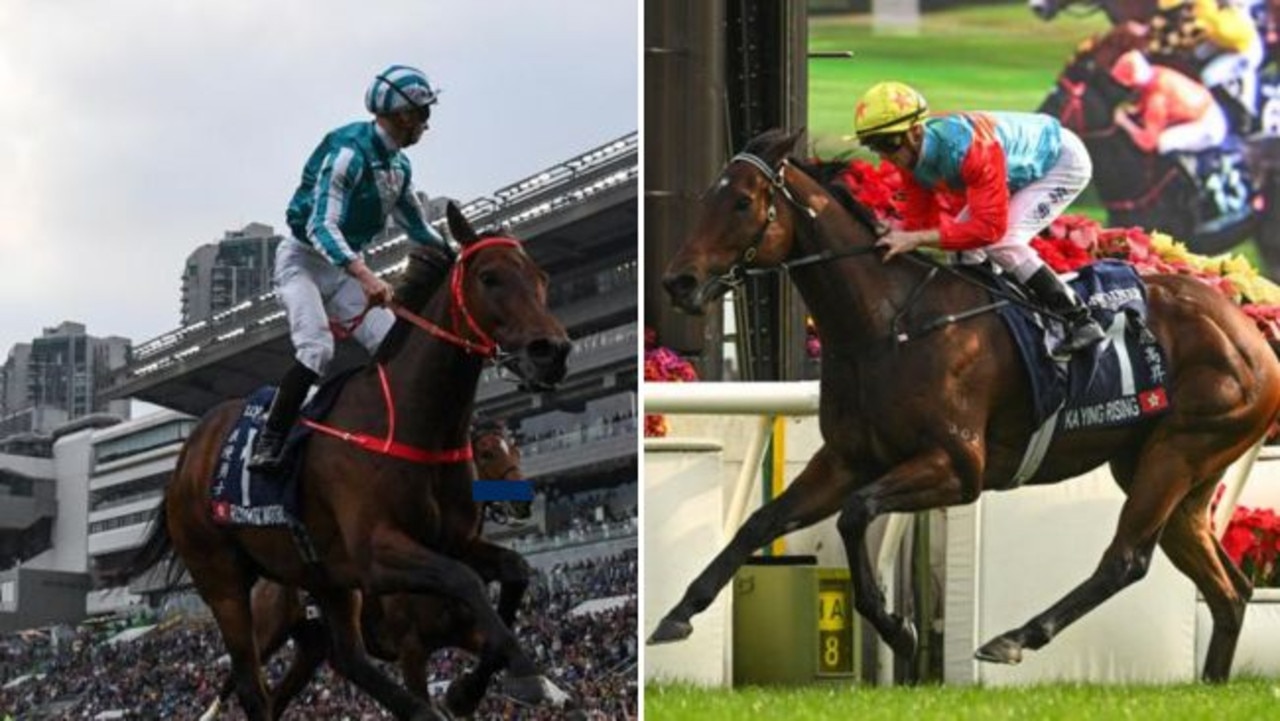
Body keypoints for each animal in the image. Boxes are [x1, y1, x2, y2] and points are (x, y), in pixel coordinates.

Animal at [206, 420, 550, 717]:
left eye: (516, 451)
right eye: (488, 453)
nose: (524, 503)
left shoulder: (467, 632)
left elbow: (494, 649)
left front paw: (463, 695)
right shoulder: (411, 650)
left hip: (311, 648)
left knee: (281, 697)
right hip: (267, 633)